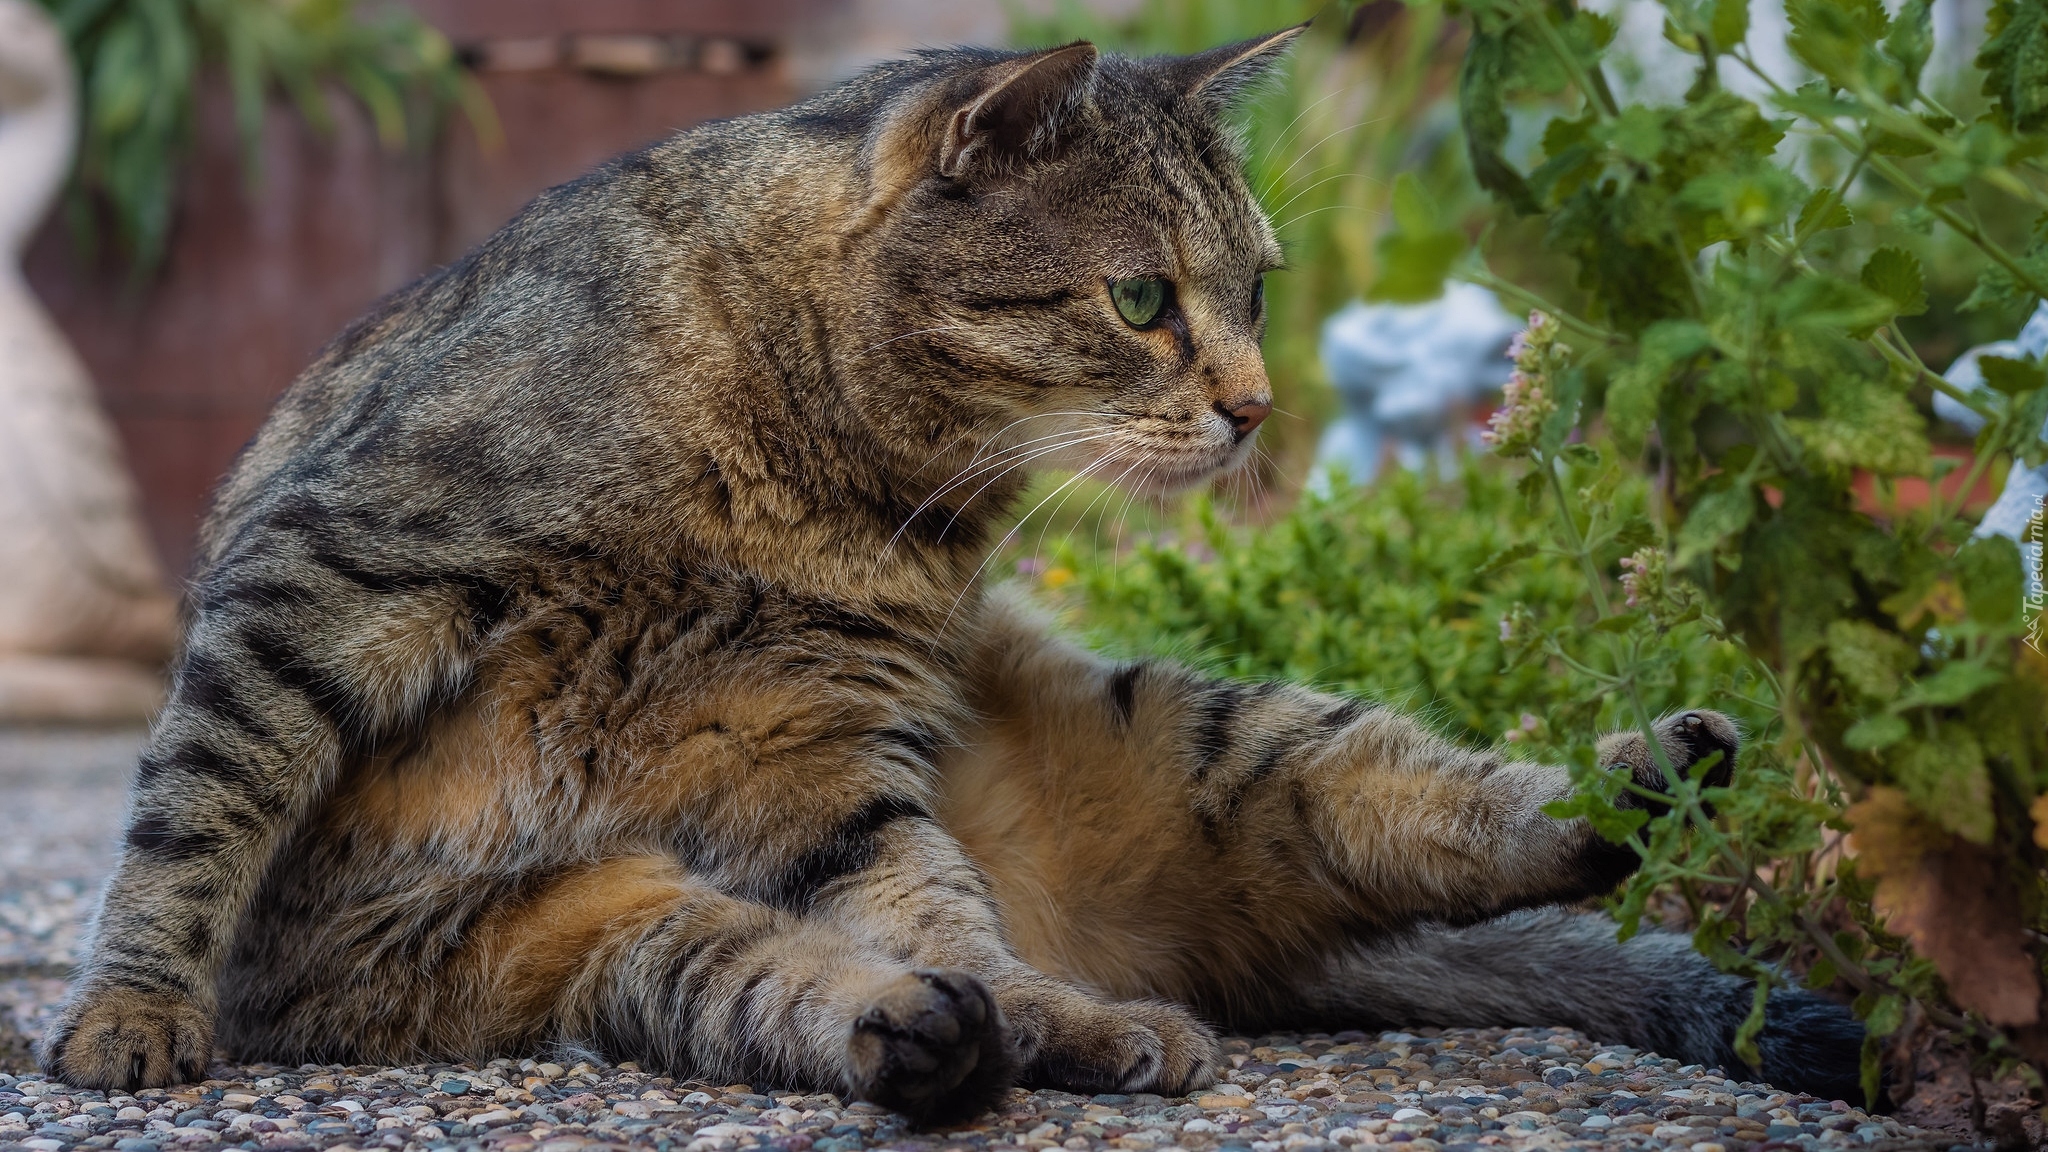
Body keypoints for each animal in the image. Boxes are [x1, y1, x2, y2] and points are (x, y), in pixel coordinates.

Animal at [39, 31, 1867, 1115]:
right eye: (1142, 298)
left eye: (1257, 293)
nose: (1257, 406)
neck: (807, 470)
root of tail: (1128, 938)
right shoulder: (336, 564)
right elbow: (200, 801)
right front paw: (131, 1011)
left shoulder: (821, 748)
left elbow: (899, 868)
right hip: (585, 935)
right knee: (801, 975)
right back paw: (945, 1034)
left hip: (1180, 723)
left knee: (1382, 803)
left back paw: (1626, 790)